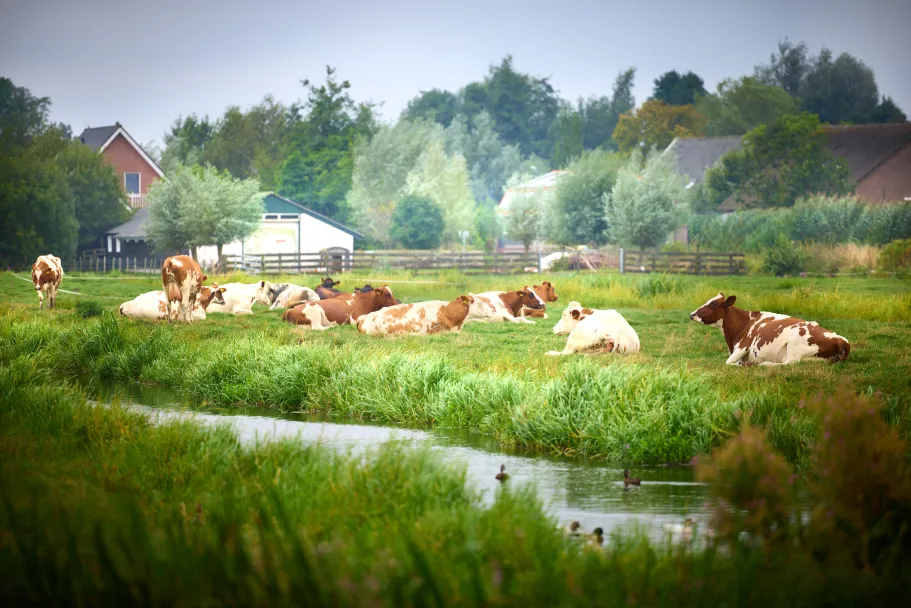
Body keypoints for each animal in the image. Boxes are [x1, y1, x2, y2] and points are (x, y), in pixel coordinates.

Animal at [689, 293, 851, 366]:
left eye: (713, 304)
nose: (692, 314)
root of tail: (842, 340)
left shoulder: (743, 346)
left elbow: (728, 362)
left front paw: (744, 364)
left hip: (795, 344)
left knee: (788, 363)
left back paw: (764, 364)